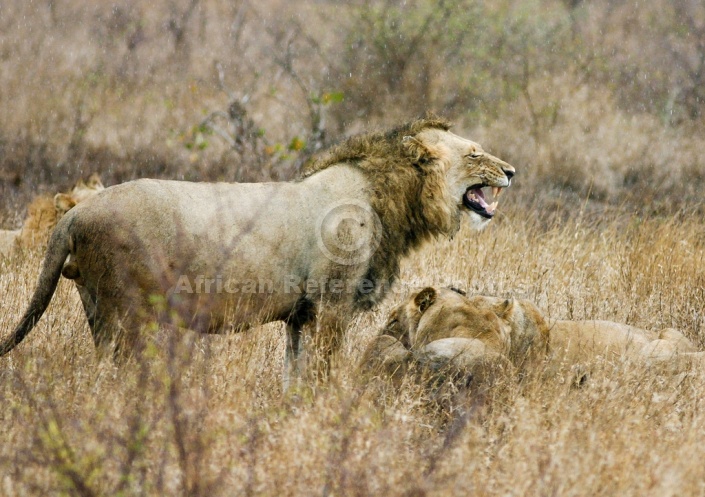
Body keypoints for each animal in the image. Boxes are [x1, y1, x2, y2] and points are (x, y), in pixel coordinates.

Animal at [2, 117, 516, 388]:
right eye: (474, 153)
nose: (511, 171)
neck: (389, 198)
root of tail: (75, 214)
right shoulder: (333, 304)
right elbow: (324, 366)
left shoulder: (300, 315)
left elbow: (294, 369)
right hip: (131, 312)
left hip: (97, 309)